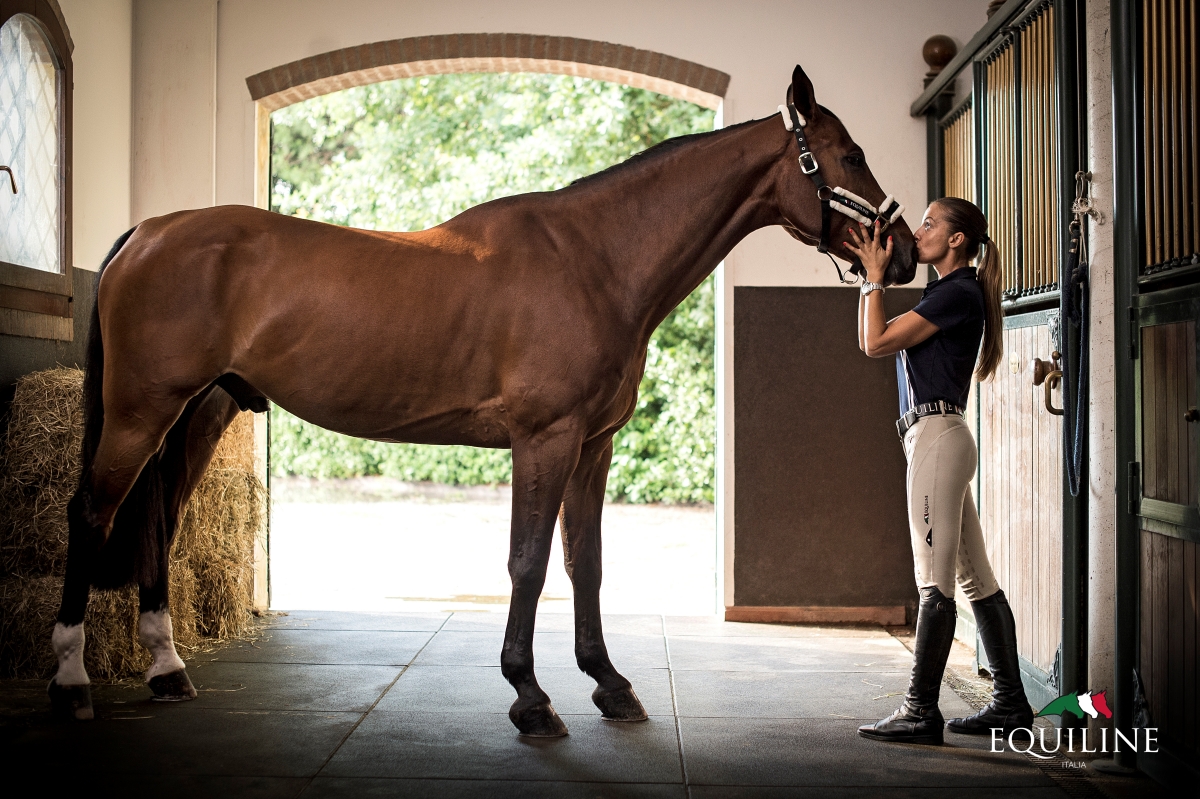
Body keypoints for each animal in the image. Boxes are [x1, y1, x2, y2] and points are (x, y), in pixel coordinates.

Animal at [44, 65, 907, 729]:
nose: (896, 255)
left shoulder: (593, 446)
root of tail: (149, 231)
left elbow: (586, 563)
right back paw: (71, 682)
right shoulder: (545, 439)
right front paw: (530, 695)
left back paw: (167, 668)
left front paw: (609, 682)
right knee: (91, 515)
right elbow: (528, 562)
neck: (594, 259)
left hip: (194, 414)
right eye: (847, 153)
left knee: (156, 519)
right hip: (141, 412)